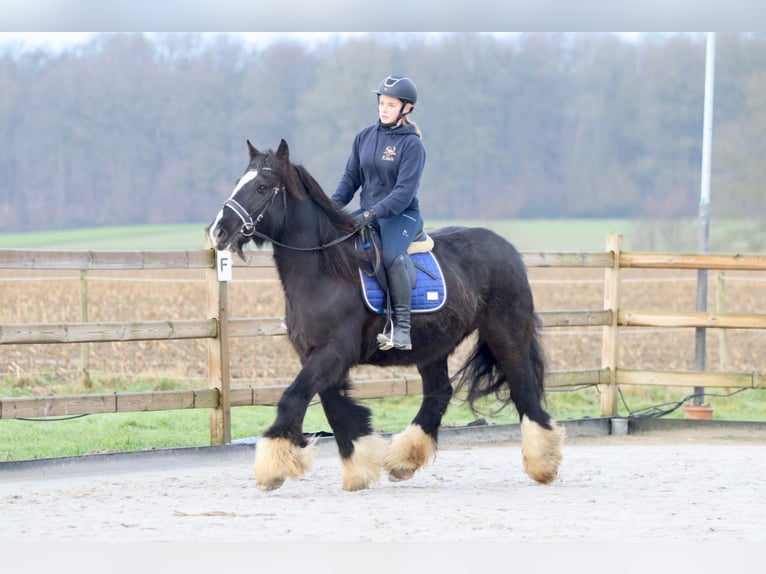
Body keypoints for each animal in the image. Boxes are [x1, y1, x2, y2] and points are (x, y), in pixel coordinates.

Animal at [208, 141, 564, 496]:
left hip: (505, 333)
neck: (326, 272)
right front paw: (358, 466)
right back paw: (404, 461)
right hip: (432, 346)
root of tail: (508, 249)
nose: (218, 232)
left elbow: (294, 398)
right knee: (439, 393)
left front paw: (273, 467)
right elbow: (336, 409)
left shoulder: (333, 353)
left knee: (523, 387)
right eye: (239, 181)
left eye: (262, 186)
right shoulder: (318, 355)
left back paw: (543, 463)